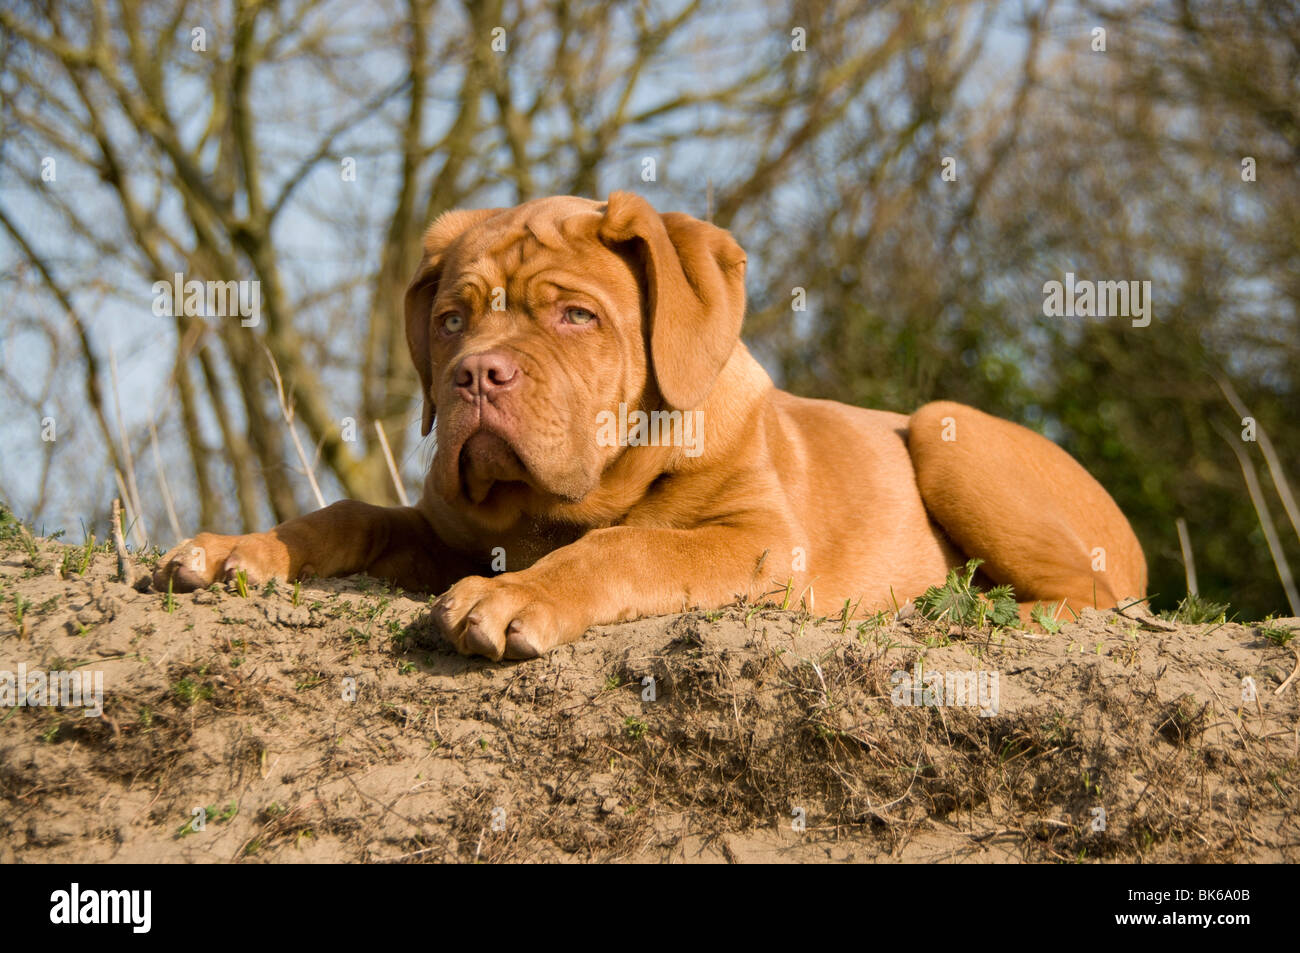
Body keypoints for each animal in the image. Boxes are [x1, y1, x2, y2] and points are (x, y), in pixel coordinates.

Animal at [154, 189, 1149, 657]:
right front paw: (243, 547)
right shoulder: (445, 531)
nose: (476, 374)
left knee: (1100, 597)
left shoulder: (755, 538)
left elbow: (627, 544)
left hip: (946, 425)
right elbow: (350, 514)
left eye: (575, 316)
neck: (550, 507)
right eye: (451, 320)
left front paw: (515, 598)